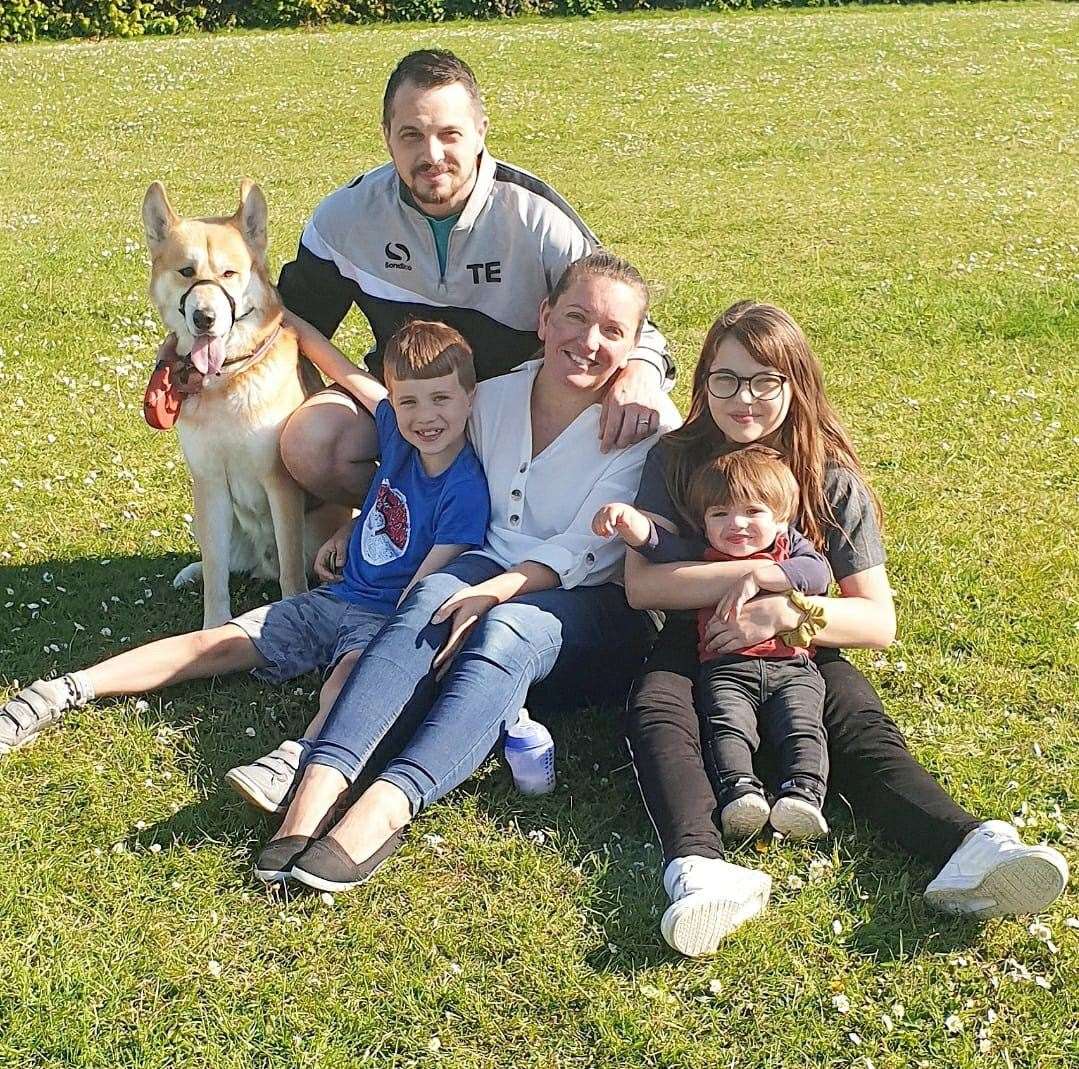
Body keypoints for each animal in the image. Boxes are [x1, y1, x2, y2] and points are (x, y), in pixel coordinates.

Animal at [142, 180, 345, 629]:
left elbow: (291, 571)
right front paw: (214, 627)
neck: (225, 383)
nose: (204, 317)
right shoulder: (211, 484)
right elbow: (216, 574)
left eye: (229, 273)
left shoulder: (280, 484)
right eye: (186, 271)